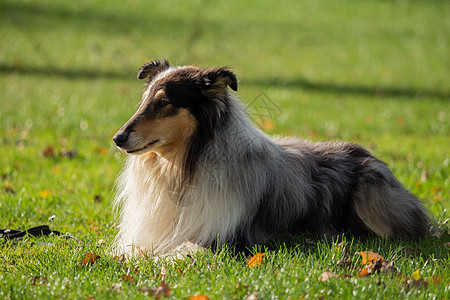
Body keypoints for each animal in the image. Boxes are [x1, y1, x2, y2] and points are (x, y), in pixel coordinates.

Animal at [110, 59, 430, 256]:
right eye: (144, 101)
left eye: (164, 102)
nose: (117, 138)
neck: (184, 167)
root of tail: (365, 151)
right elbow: (130, 251)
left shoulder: (226, 240)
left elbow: (178, 251)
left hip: (371, 194)